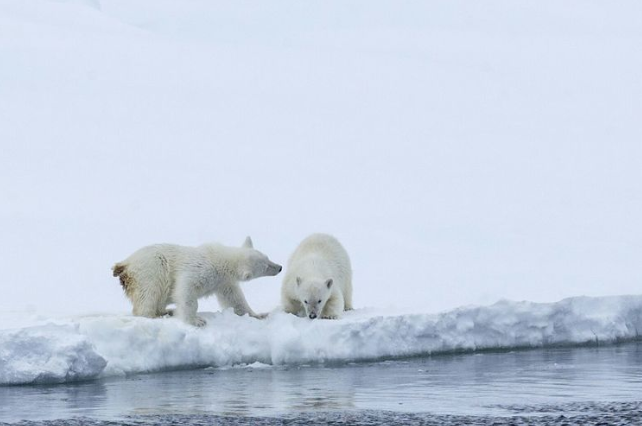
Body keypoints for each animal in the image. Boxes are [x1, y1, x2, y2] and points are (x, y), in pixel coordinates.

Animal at [112, 236, 280, 326]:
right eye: (266, 267)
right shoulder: (199, 269)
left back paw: (166, 311)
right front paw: (196, 321)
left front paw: (259, 315)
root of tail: (123, 264)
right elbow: (186, 290)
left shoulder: (223, 281)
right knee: (149, 291)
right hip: (151, 268)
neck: (220, 259)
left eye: (267, 257)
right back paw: (153, 315)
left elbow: (234, 298)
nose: (280, 267)